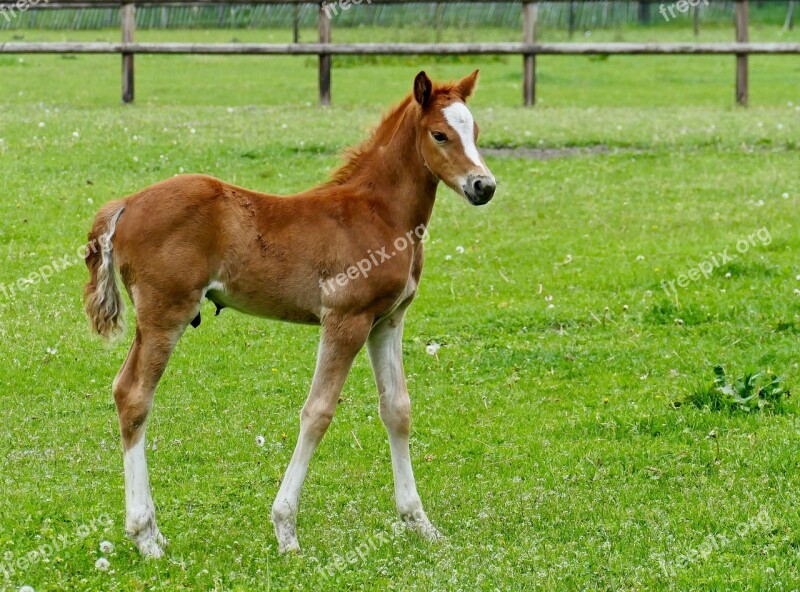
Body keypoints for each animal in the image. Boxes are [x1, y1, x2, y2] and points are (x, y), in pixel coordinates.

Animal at [87, 69, 496, 556]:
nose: (484, 186)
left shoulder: (387, 321)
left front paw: (419, 522)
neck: (380, 214)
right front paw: (285, 530)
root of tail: (126, 204)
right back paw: (145, 536)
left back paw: (151, 531)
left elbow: (397, 410)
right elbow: (317, 412)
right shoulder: (346, 320)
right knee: (135, 396)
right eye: (440, 134)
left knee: (122, 389)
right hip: (166, 314)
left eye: (475, 132)